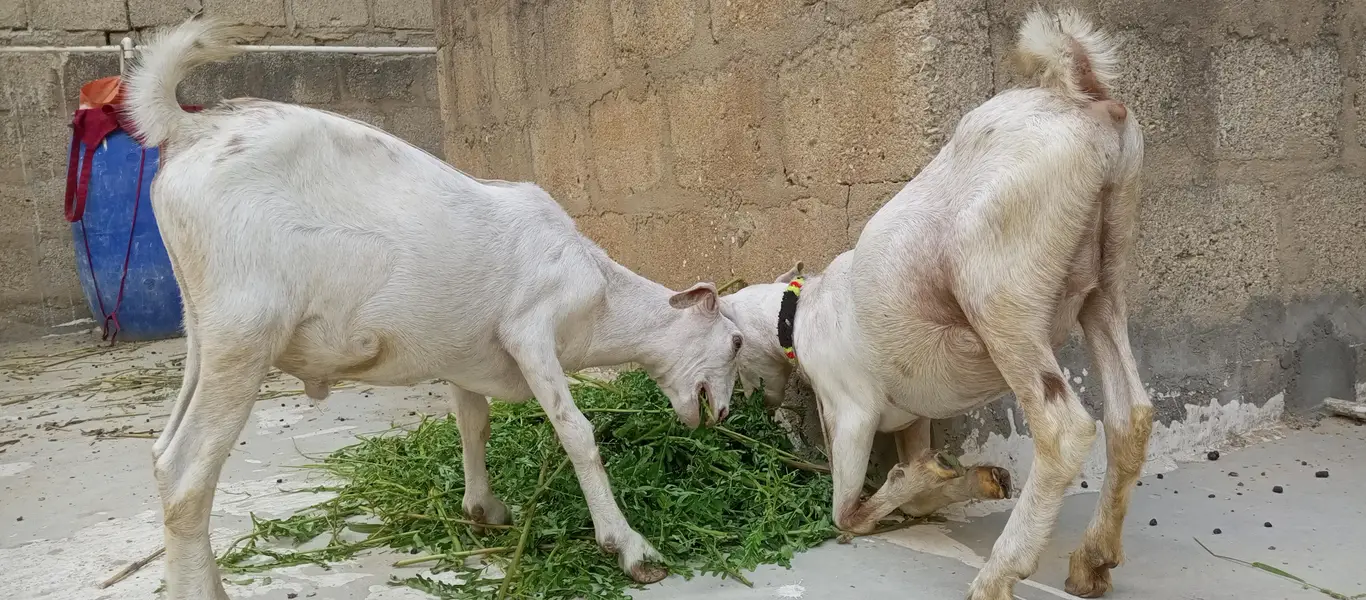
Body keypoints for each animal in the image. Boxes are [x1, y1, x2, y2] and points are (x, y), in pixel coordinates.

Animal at [124, 19, 743, 599]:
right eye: (736, 342)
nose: (723, 414)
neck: (601, 292)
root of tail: (191, 127)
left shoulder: (465, 356)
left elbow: (474, 423)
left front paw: (484, 509)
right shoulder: (531, 330)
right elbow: (577, 432)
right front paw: (631, 548)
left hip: (203, 331)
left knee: (161, 454)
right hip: (246, 331)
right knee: (185, 473)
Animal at [719, 9, 1149, 599]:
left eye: (732, 346)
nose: (748, 407)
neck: (801, 315)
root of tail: (1082, 97)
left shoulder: (851, 411)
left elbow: (846, 511)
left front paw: (918, 475)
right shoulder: (912, 413)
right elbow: (921, 492)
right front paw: (973, 479)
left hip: (1000, 291)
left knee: (1065, 429)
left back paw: (999, 573)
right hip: (1106, 273)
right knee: (1130, 413)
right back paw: (1093, 559)